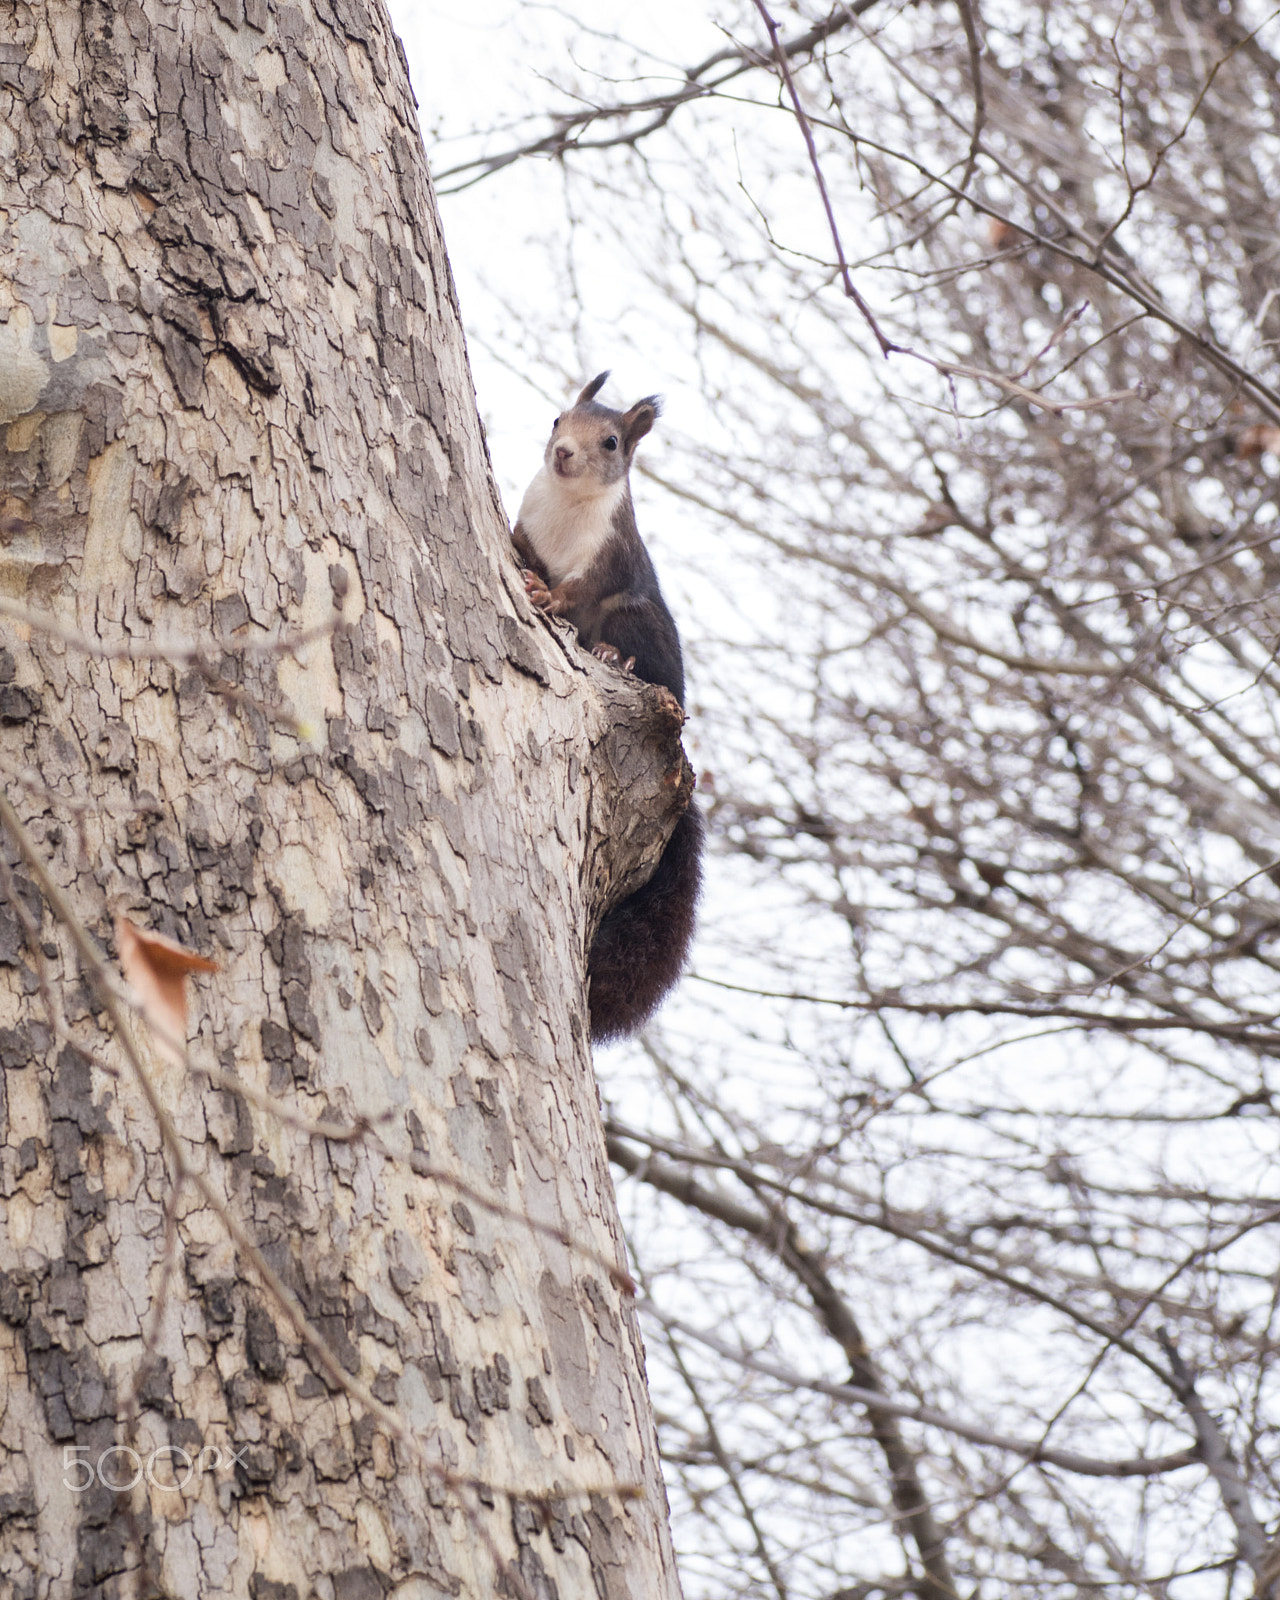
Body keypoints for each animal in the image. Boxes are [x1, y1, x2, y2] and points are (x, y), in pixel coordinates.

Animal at [512, 369, 704, 1043]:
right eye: (556, 420)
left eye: (613, 442)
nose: (564, 453)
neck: (567, 506)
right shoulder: (531, 517)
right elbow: (522, 540)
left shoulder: (609, 556)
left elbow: (577, 591)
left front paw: (545, 594)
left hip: (637, 617)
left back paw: (614, 657)